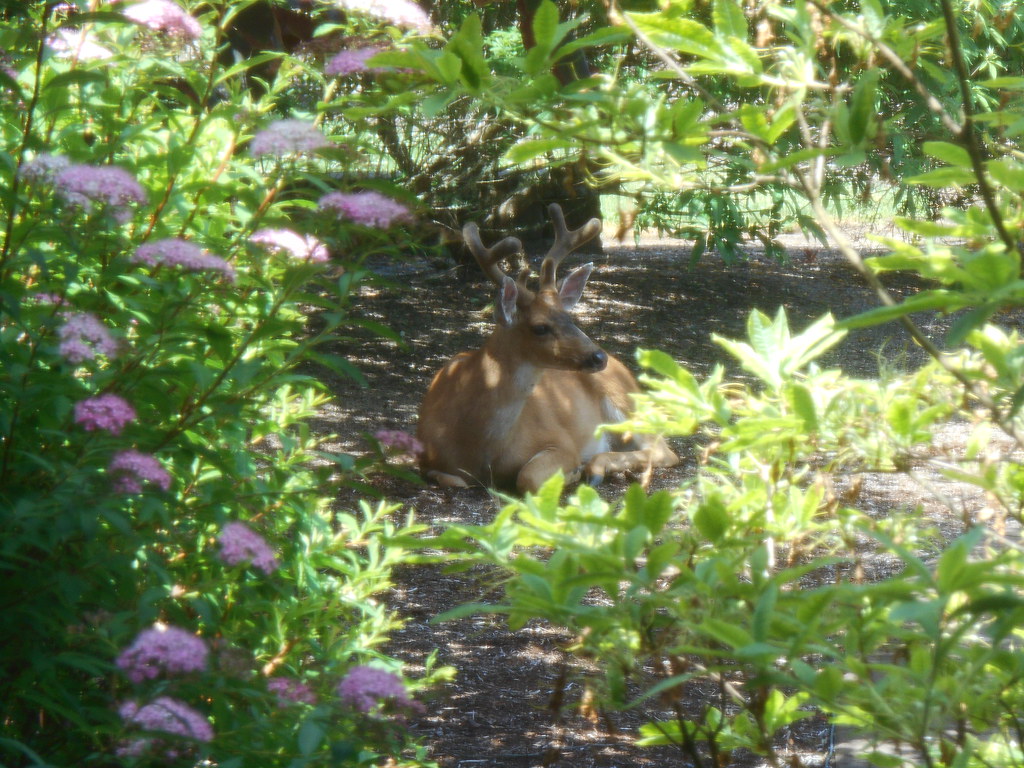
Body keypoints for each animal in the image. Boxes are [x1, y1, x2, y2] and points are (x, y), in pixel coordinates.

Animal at [416, 203, 679, 494]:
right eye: (540, 327)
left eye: (569, 317)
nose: (598, 356)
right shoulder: (424, 457)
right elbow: (450, 479)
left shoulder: (561, 442)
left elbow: (527, 477)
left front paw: (573, 472)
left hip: (628, 402)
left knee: (664, 450)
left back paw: (596, 468)